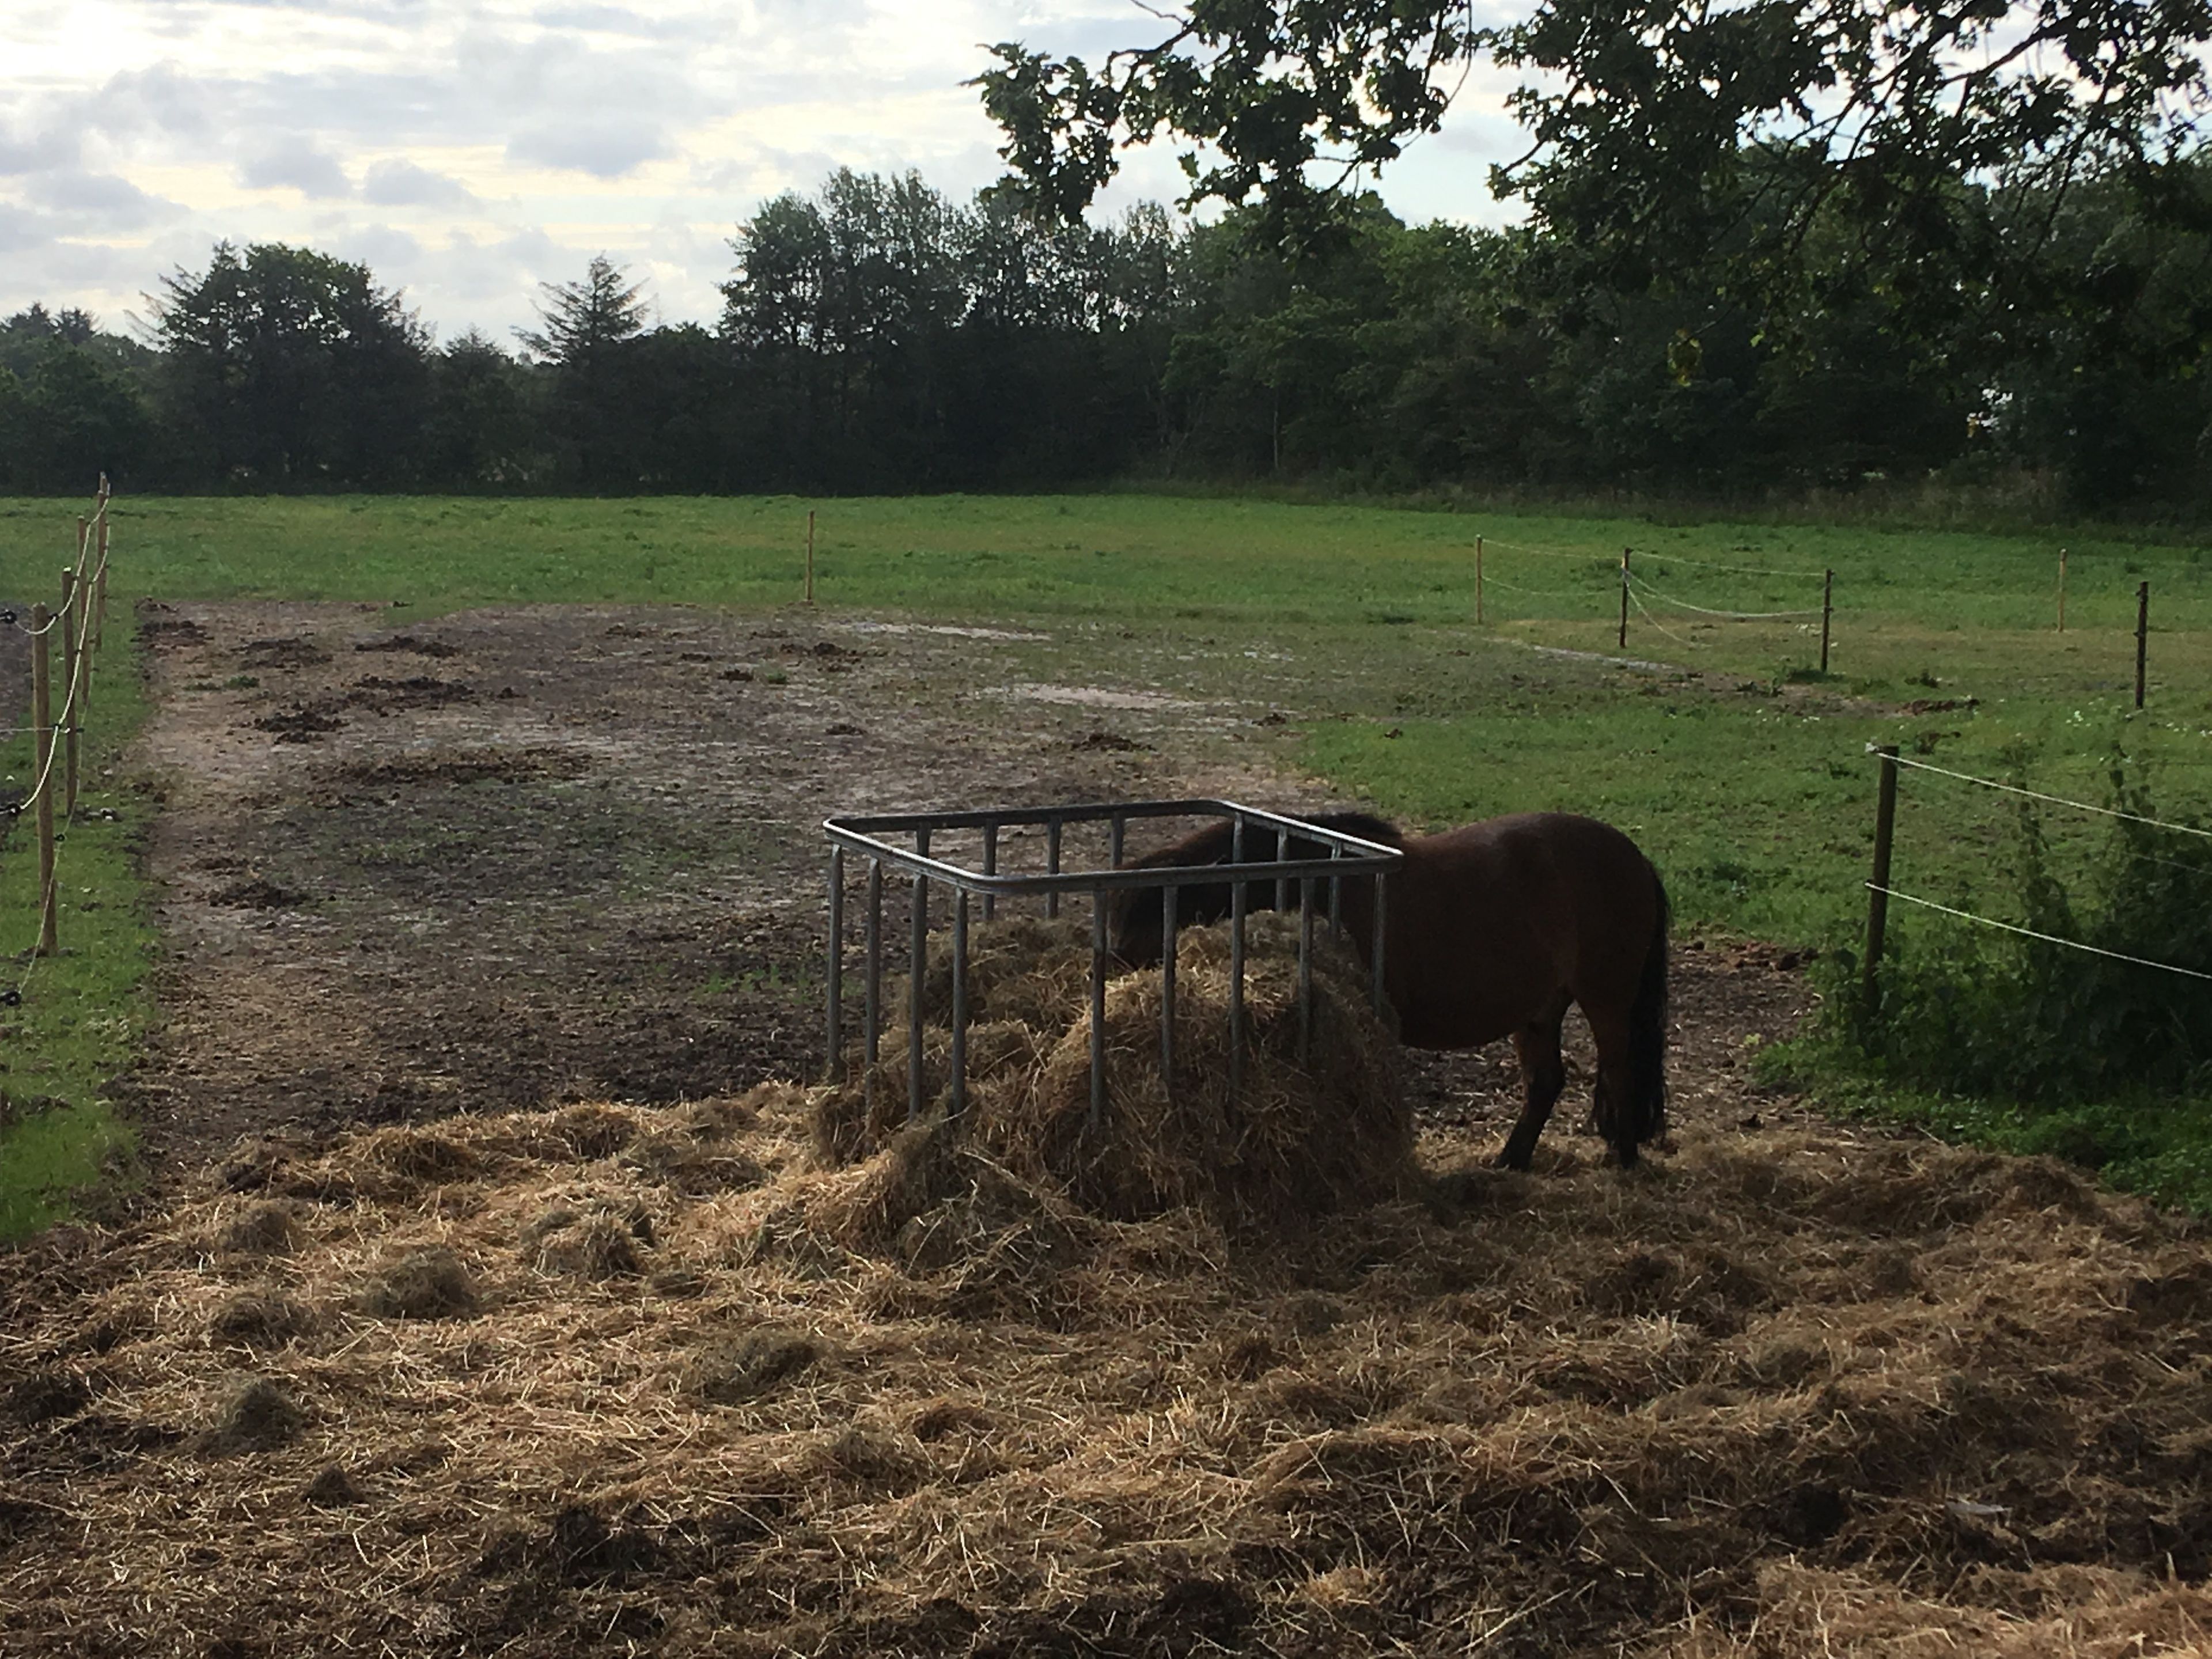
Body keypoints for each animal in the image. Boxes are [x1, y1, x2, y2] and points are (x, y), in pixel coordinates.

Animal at [1109, 810, 1670, 1169]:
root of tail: (1636, 859)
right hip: (1540, 1010)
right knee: (1547, 1082)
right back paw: (1511, 1162)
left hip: (1606, 1001)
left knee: (1618, 1073)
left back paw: (1622, 1160)